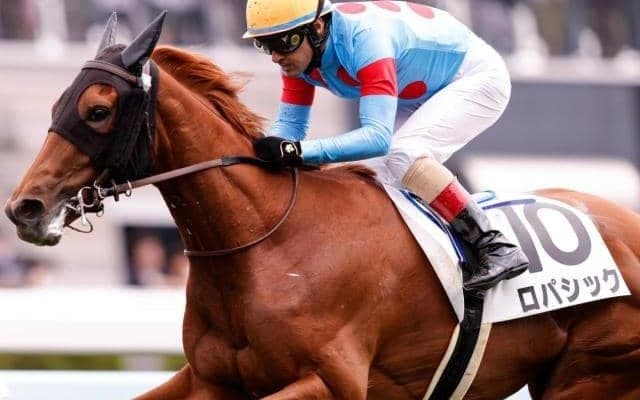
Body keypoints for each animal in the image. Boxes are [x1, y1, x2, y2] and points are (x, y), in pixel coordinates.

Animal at [4, 13, 640, 400]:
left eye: (98, 111)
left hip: (591, 374)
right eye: (58, 103)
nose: (24, 207)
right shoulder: (211, 379)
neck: (267, 245)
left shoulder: (332, 382)